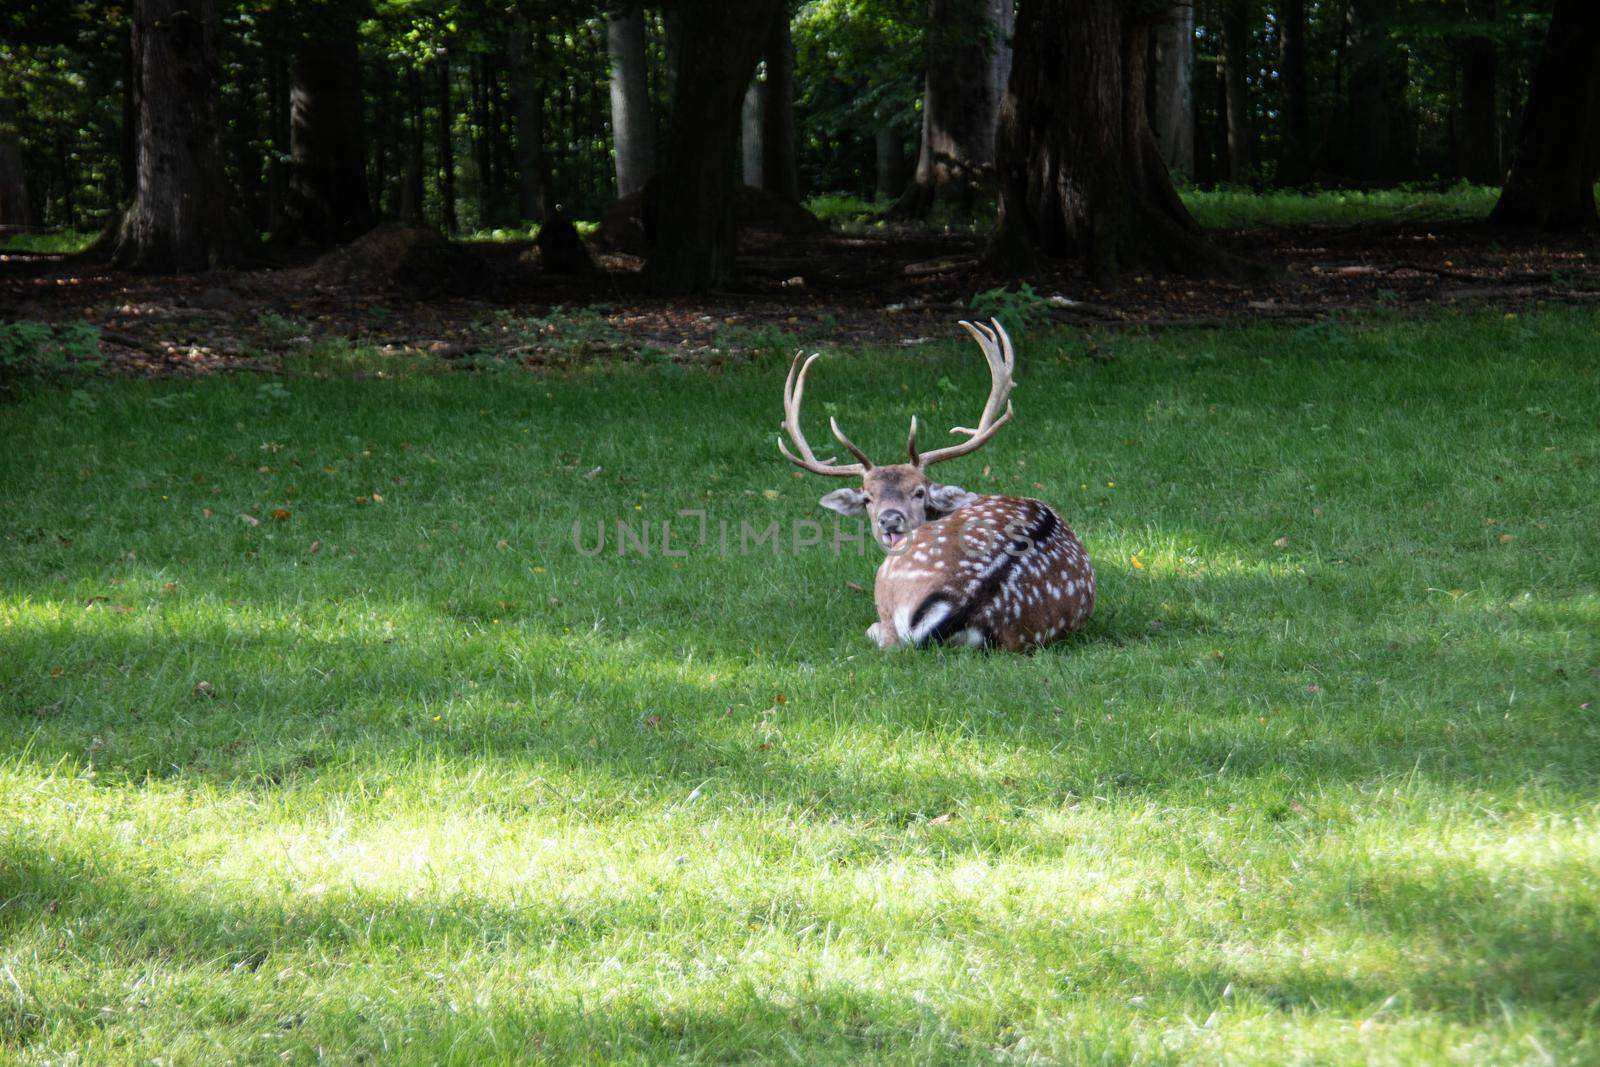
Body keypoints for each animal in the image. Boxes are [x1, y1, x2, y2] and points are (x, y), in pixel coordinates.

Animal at [777, 316, 1094, 652]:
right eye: (867, 498)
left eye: (919, 492)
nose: (890, 520)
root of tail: (961, 602)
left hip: (890, 578)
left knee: (887, 638)